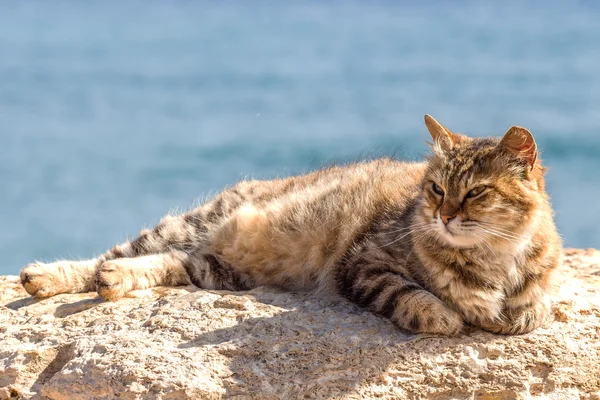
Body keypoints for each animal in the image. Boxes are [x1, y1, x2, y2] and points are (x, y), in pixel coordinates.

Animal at [18, 115, 564, 334]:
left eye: (474, 193)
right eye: (434, 188)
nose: (442, 214)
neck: (493, 258)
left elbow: (534, 308)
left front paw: (512, 313)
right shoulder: (364, 261)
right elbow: (415, 297)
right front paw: (444, 316)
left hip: (215, 269)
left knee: (161, 264)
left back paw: (112, 282)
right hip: (192, 224)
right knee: (107, 256)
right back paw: (46, 276)